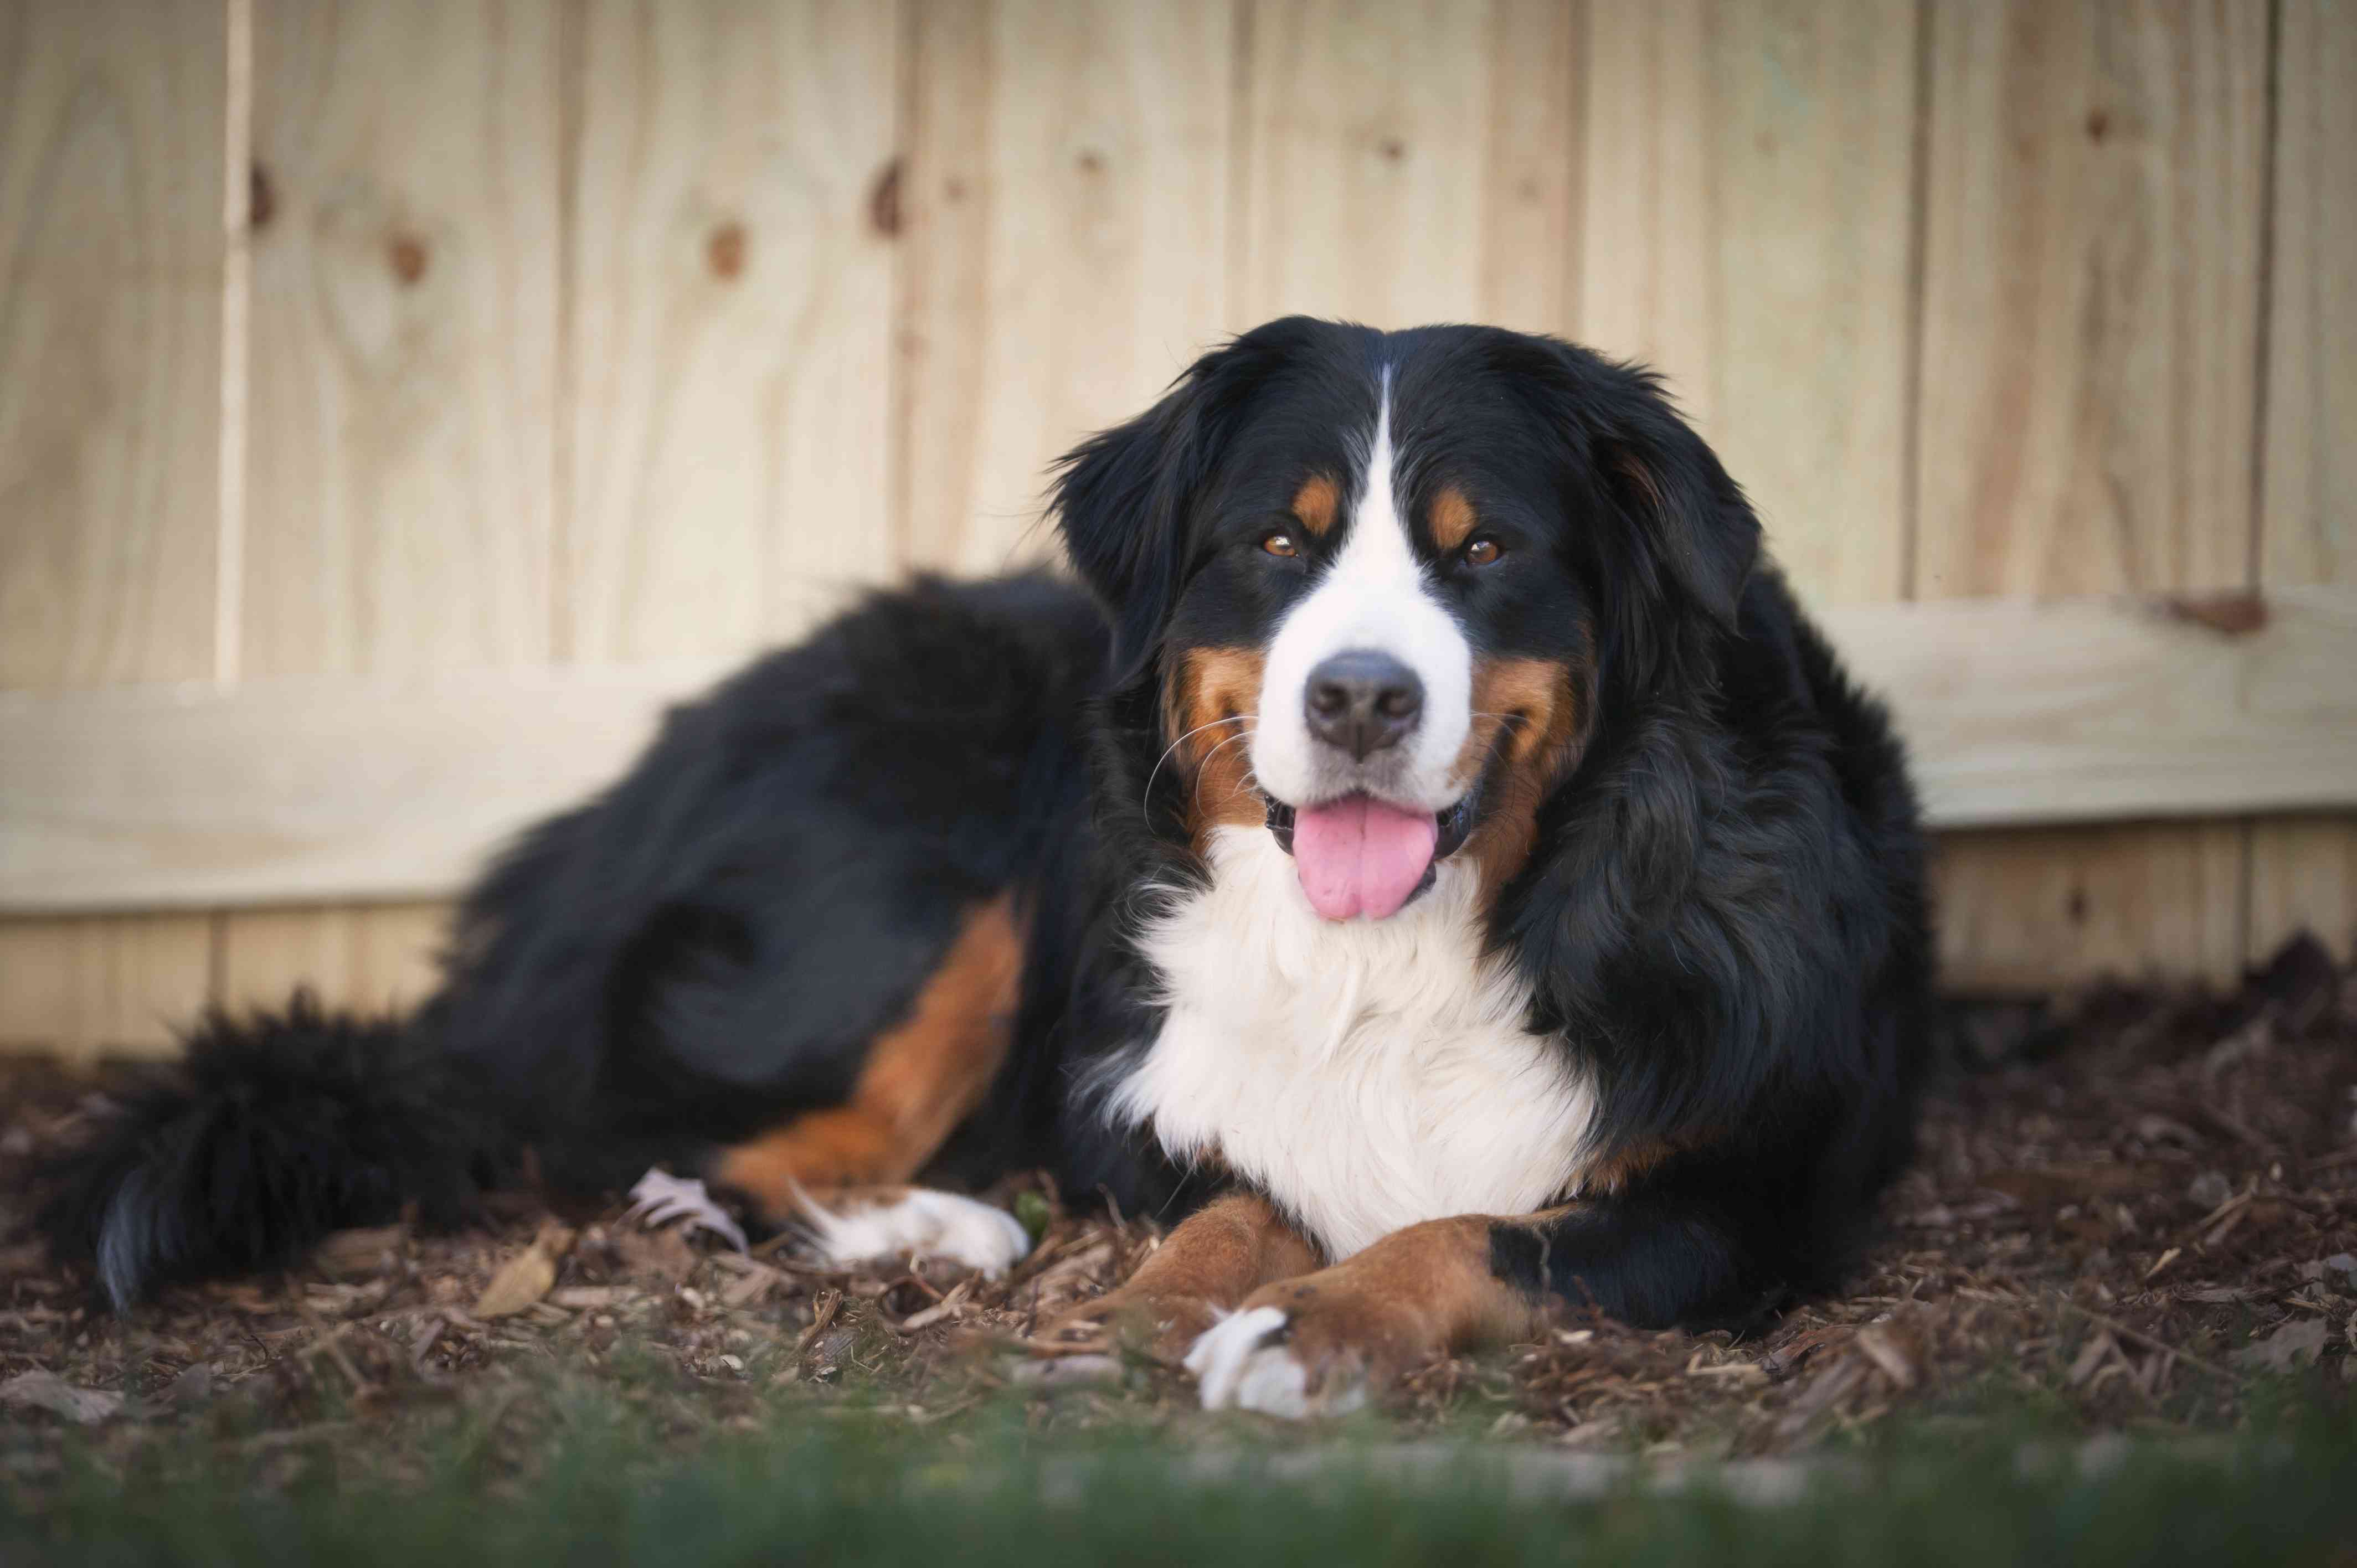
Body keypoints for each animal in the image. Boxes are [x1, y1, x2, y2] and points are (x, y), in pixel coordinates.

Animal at [32, 318, 1932, 1415]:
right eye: (1278, 541)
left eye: (1484, 553)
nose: (1360, 696)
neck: (1397, 953)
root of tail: (599, 809)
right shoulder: (1144, 1091)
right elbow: (1235, 1199)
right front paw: (1151, 1306)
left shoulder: (1741, 1184)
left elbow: (1465, 1231)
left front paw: (1304, 1327)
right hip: (941, 850)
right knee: (654, 1137)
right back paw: (943, 1221)